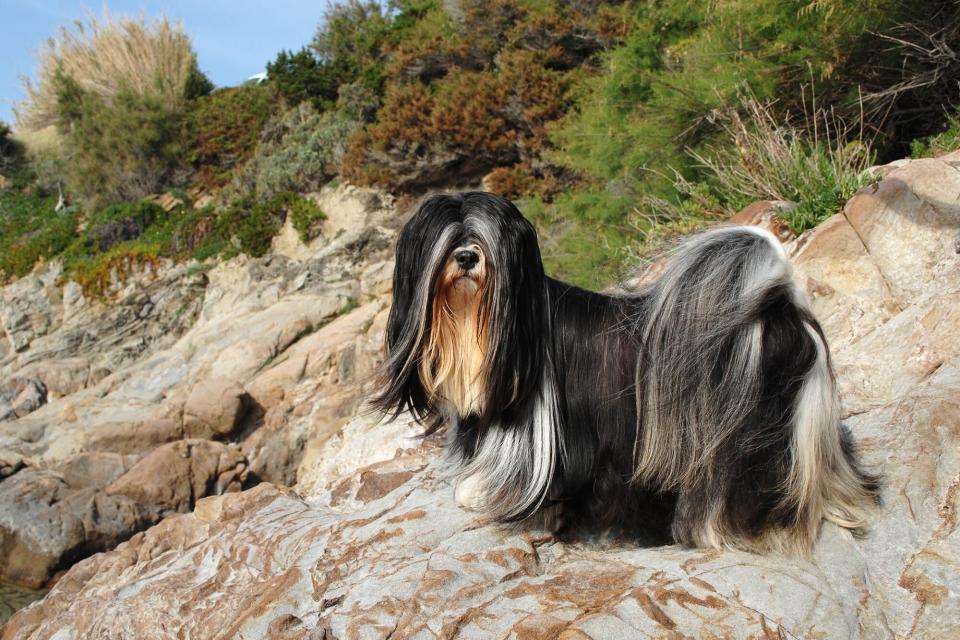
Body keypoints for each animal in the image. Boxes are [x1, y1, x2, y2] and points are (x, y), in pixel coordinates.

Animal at [374, 191, 876, 556]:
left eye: (482, 241)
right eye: (448, 242)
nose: (466, 258)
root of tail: (782, 307)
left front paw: (480, 495)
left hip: (749, 441)